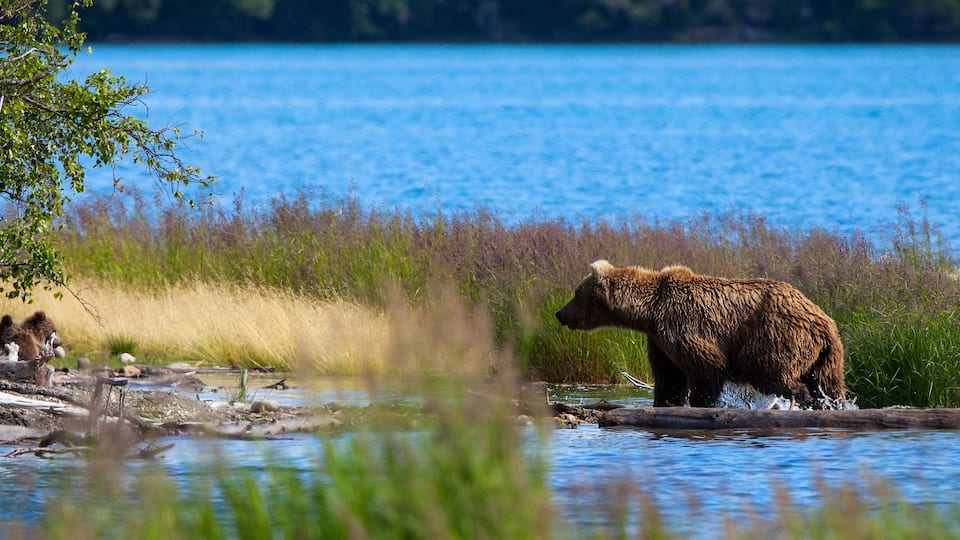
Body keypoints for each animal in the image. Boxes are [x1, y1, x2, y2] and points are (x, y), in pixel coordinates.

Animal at [555, 260, 846, 409]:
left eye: (576, 293)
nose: (559, 313)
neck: (648, 312)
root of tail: (824, 321)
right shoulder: (659, 341)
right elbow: (669, 377)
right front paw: (666, 401)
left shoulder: (682, 325)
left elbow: (706, 366)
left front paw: (701, 402)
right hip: (828, 354)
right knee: (829, 383)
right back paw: (831, 404)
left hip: (777, 334)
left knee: (768, 369)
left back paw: (803, 399)